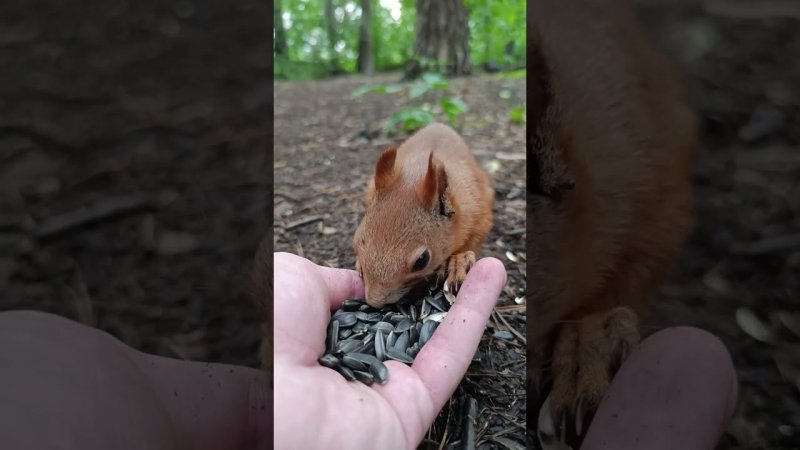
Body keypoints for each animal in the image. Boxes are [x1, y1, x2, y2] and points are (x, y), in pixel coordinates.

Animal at [352, 124, 494, 310]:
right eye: (357, 242)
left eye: (422, 261)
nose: (375, 301)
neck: (415, 175)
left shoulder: (479, 215)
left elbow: (473, 242)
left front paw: (459, 261)